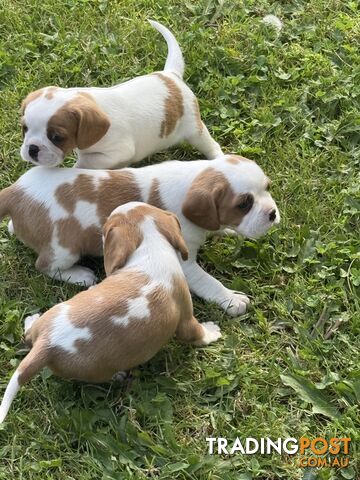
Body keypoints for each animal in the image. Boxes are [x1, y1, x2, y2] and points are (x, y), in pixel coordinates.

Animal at [0, 156, 280, 316]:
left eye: (268, 187)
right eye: (243, 204)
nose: (272, 213)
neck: (192, 179)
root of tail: (14, 192)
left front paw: (229, 231)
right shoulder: (184, 262)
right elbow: (209, 282)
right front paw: (231, 299)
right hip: (64, 249)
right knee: (46, 265)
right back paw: (79, 275)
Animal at [0, 202, 221, 424]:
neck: (151, 246)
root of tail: (47, 344)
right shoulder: (186, 318)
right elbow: (197, 333)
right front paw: (212, 331)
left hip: (53, 313)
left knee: (29, 334)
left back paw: (31, 321)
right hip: (95, 370)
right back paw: (119, 375)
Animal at [20, 19, 222, 170]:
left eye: (57, 137)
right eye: (24, 128)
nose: (32, 149)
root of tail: (170, 75)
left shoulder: (117, 151)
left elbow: (87, 162)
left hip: (194, 130)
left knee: (211, 145)